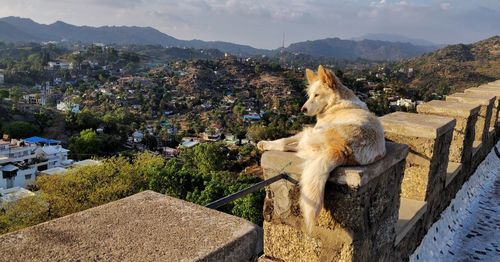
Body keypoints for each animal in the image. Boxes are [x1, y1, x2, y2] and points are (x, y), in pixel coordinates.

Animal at [258, 66, 386, 232]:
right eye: (310, 95)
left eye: (317, 95)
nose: (303, 109)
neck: (337, 103)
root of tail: (343, 148)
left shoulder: (311, 130)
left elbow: (284, 140)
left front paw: (264, 143)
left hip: (311, 133)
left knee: (286, 144)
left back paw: (266, 144)